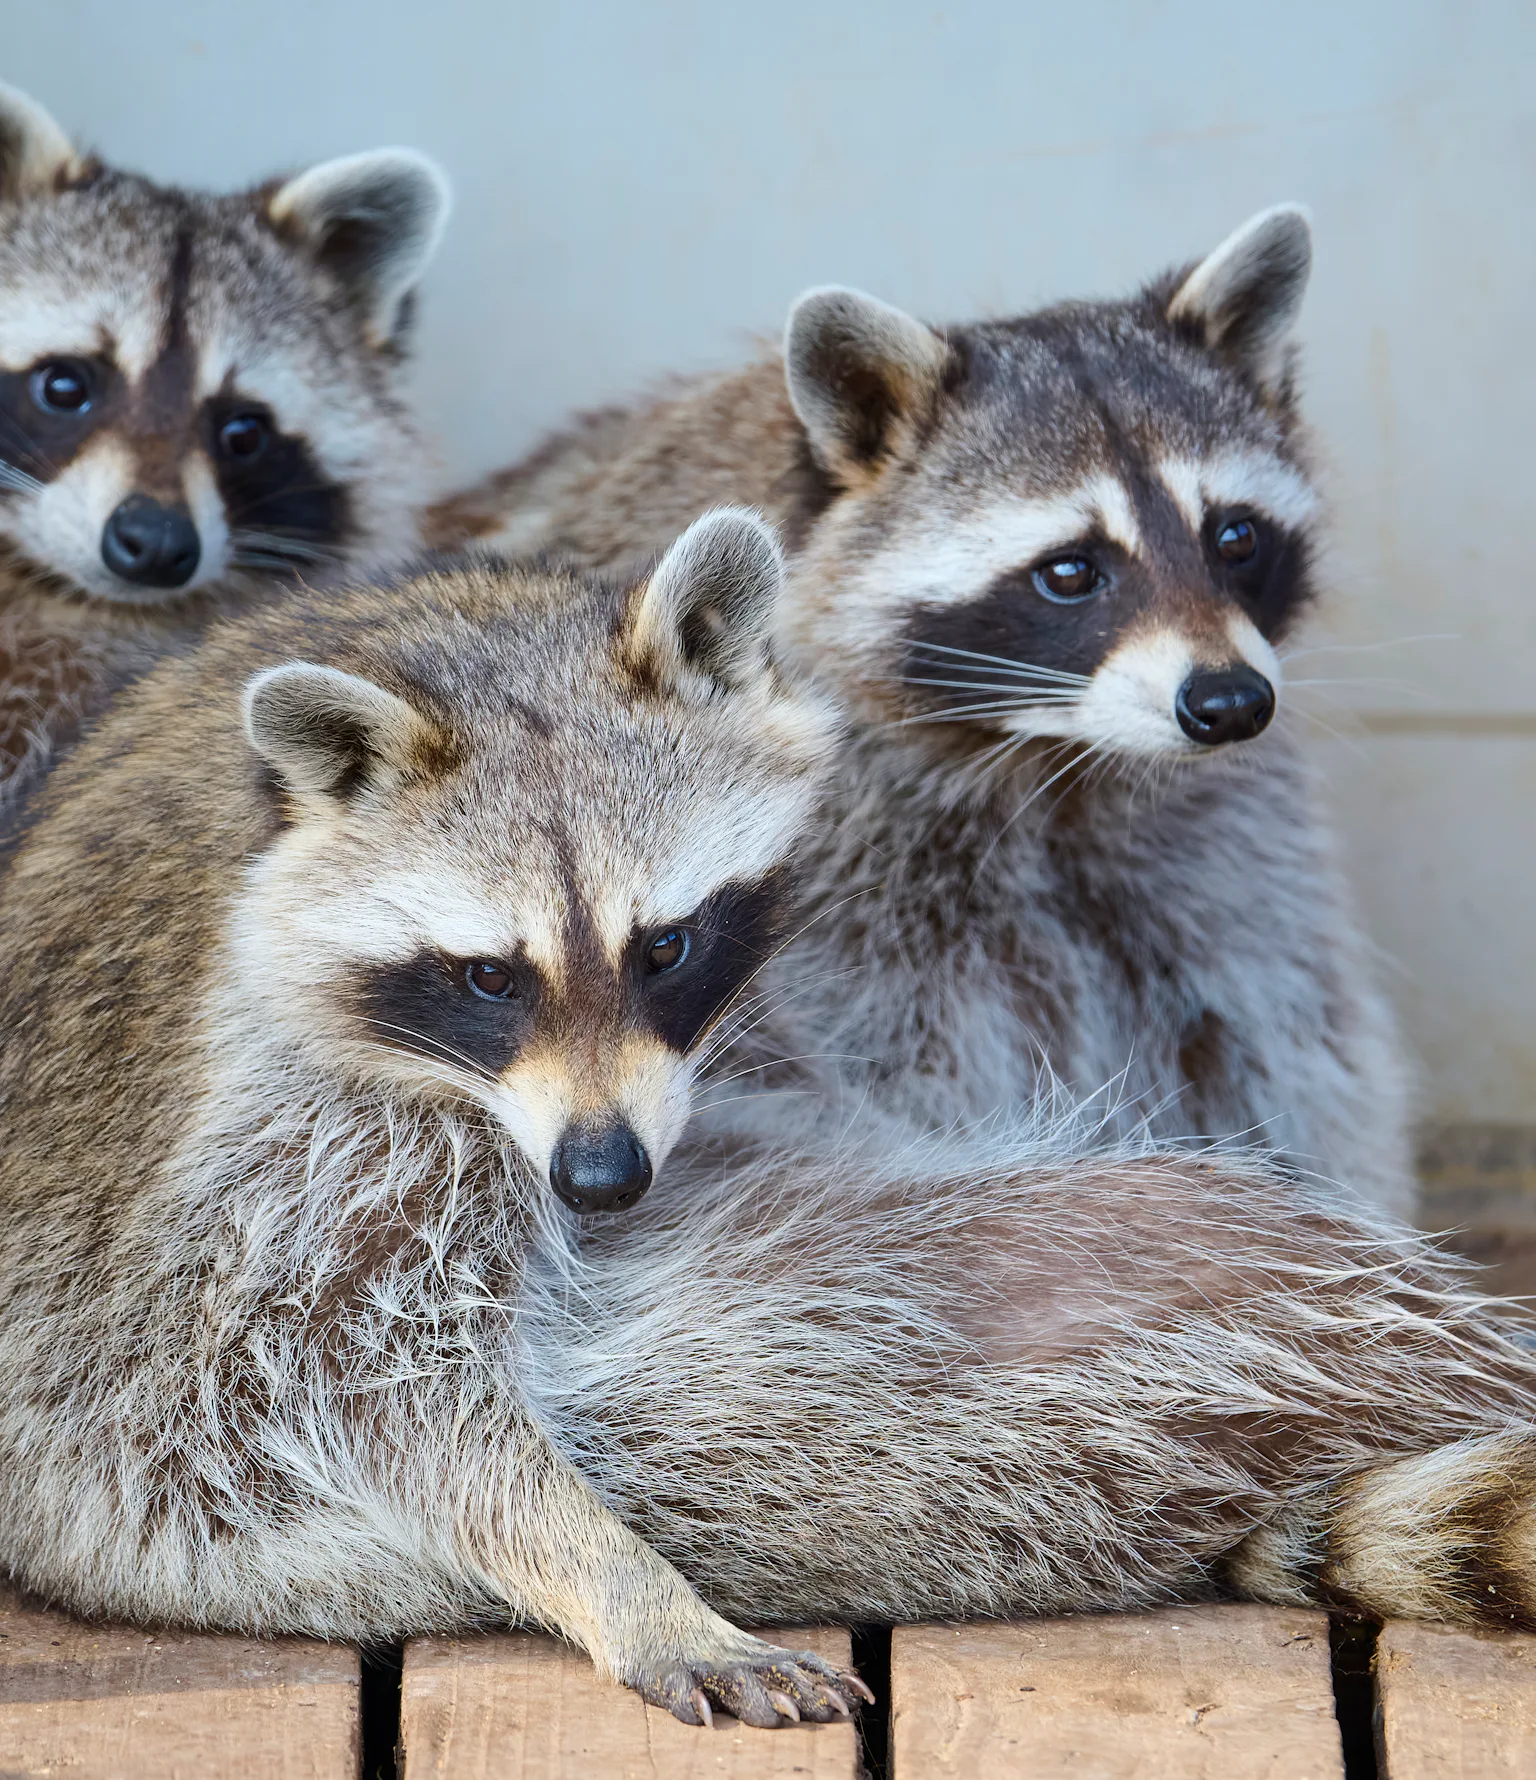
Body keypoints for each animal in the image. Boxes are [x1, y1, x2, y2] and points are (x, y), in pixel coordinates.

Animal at [433, 207, 1413, 1216]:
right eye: (1071, 571)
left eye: (1236, 537)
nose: (1229, 703)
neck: (1052, 751)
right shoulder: (833, 879)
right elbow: (900, 1069)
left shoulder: (1214, 827)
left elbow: (1283, 1027)